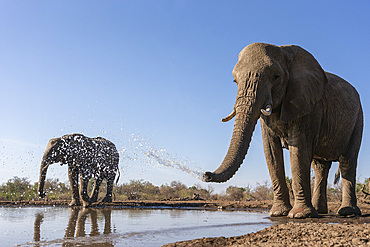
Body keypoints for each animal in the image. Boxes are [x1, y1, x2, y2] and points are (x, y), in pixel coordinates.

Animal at [204, 43, 362, 219]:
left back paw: (347, 212)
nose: (206, 175)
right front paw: (278, 213)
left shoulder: (308, 105)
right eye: (235, 81)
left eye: (276, 77)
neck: (284, 51)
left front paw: (300, 215)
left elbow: (298, 150)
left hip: (358, 119)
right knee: (320, 167)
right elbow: (271, 151)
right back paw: (320, 211)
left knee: (347, 161)